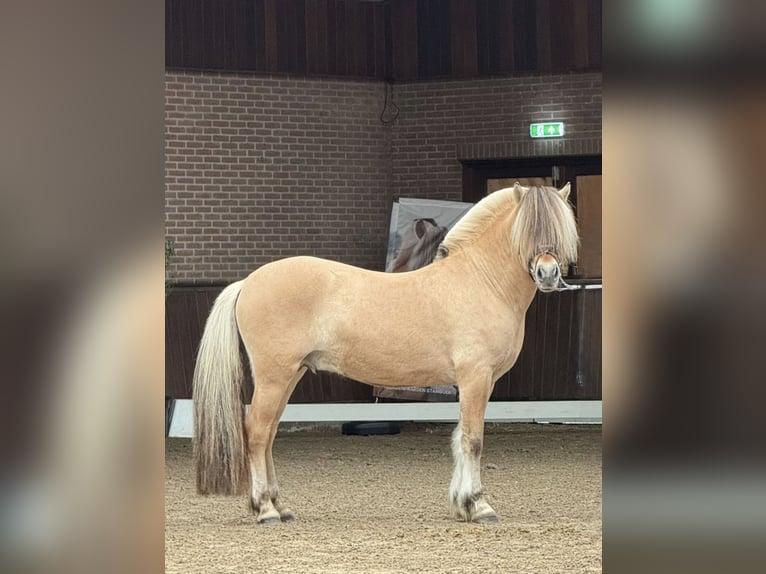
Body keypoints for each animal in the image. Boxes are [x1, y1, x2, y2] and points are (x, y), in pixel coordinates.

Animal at [192, 182, 578, 524]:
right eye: (528, 229)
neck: (481, 281)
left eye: (560, 230)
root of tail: (248, 282)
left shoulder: (475, 382)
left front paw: (460, 505)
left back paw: (279, 506)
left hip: (290, 375)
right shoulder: (476, 378)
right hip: (275, 376)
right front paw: (478, 506)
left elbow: (459, 438)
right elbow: (472, 440)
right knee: (258, 432)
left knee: (269, 433)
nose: (547, 273)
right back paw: (266, 510)